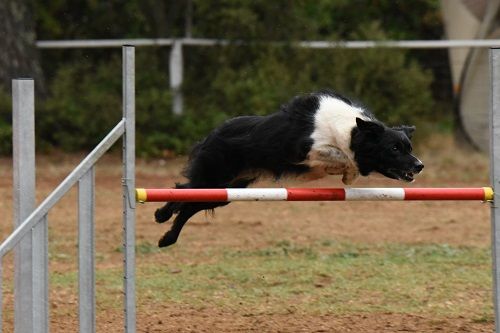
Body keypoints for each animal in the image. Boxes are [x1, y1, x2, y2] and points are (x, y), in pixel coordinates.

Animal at [154, 90, 424, 246]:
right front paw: (349, 170)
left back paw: (167, 236)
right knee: (184, 190)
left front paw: (348, 174)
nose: (420, 165)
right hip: (214, 177)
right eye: (394, 149)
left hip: (226, 191)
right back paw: (162, 216)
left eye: (409, 147)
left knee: (189, 204)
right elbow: (340, 155)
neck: (352, 130)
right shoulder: (305, 149)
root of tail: (213, 133)